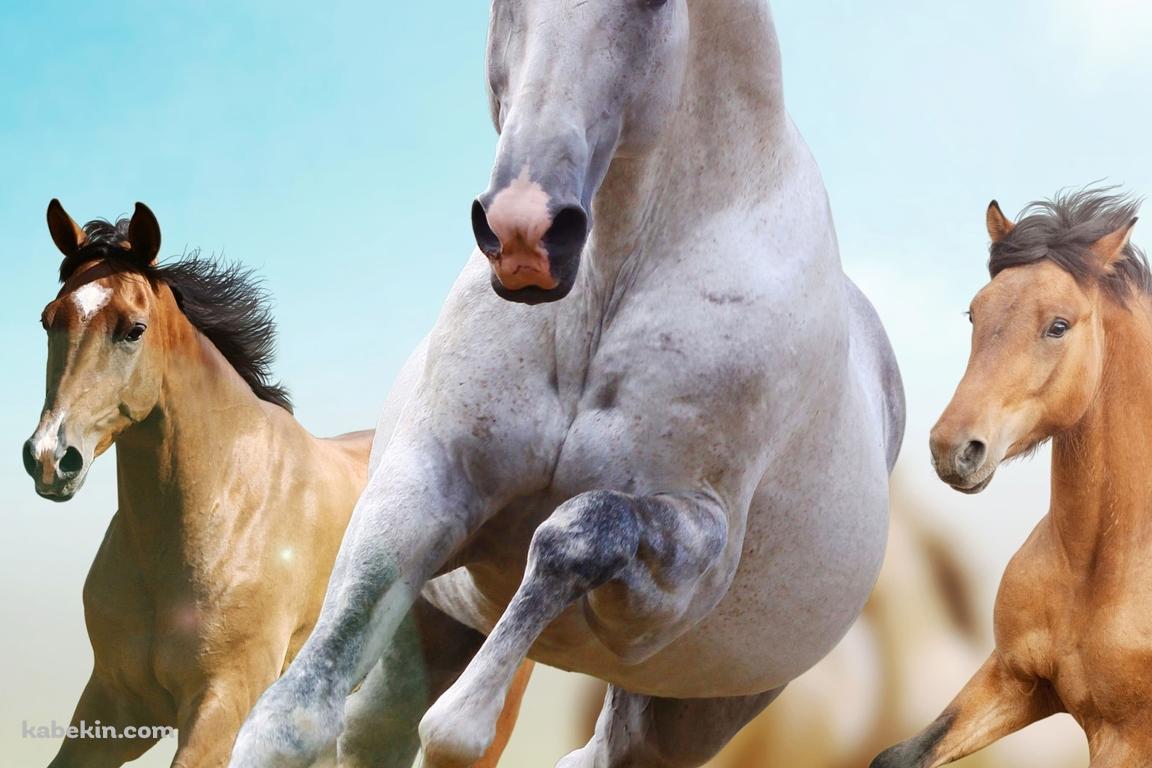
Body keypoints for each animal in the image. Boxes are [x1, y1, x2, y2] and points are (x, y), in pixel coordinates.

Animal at [23, 201, 529, 768]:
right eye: (49, 320)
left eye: (133, 329)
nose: (50, 458)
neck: (223, 511)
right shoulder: (113, 704)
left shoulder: (223, 705)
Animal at [230, 1, 905, 766]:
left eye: (653, 6)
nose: (525, 233)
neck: (605, 292)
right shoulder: (427, 485)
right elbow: (290, 716)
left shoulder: (682, 575)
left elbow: (581, 528)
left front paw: (464, 719)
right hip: (428, 636)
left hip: (688, 713)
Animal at [872, 188, 1149, 768]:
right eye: (974, 313)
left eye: (1059, 325)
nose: (952, 449)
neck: (1096, 569)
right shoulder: (1013, 679)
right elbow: (899, 755)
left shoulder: (1127, 737)